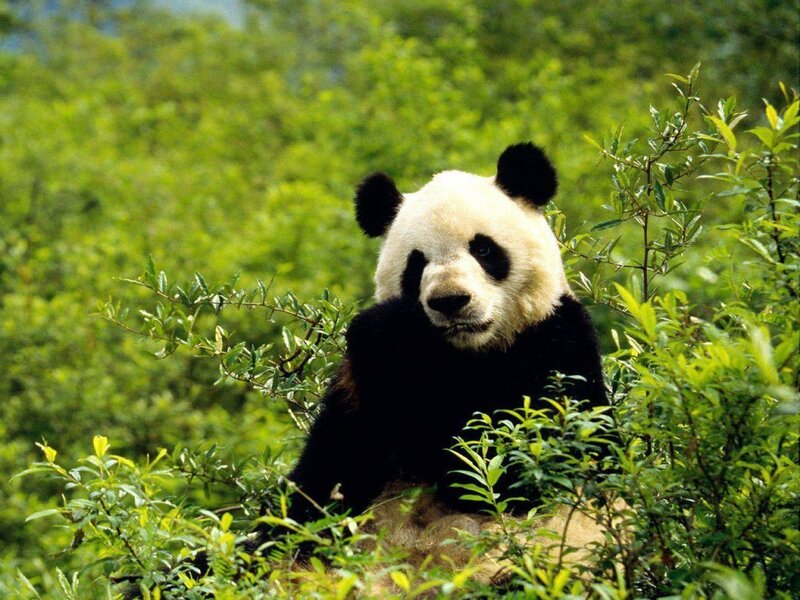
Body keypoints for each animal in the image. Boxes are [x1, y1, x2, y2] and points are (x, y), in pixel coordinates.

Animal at [272, 142, 609, 575]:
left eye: (483, 249)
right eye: (417, 263)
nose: (450, 301)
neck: (465, 354)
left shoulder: (558, 344)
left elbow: (516, 466)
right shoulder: (359, 400)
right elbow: (325, 480)